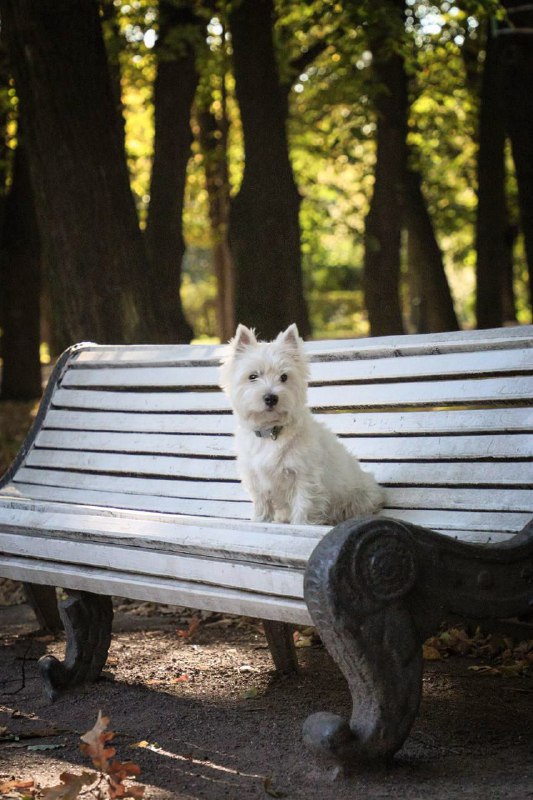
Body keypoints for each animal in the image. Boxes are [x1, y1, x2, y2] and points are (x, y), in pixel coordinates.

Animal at [218, 324, 384, 524]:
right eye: (252, 376)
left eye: (284, 377)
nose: (271, 398)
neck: (271, 432)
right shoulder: (256, 478)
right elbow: (262, 504)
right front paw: (260, 521)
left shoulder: (304, 475)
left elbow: (303, 505)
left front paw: (301, 524)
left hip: (359, 495)